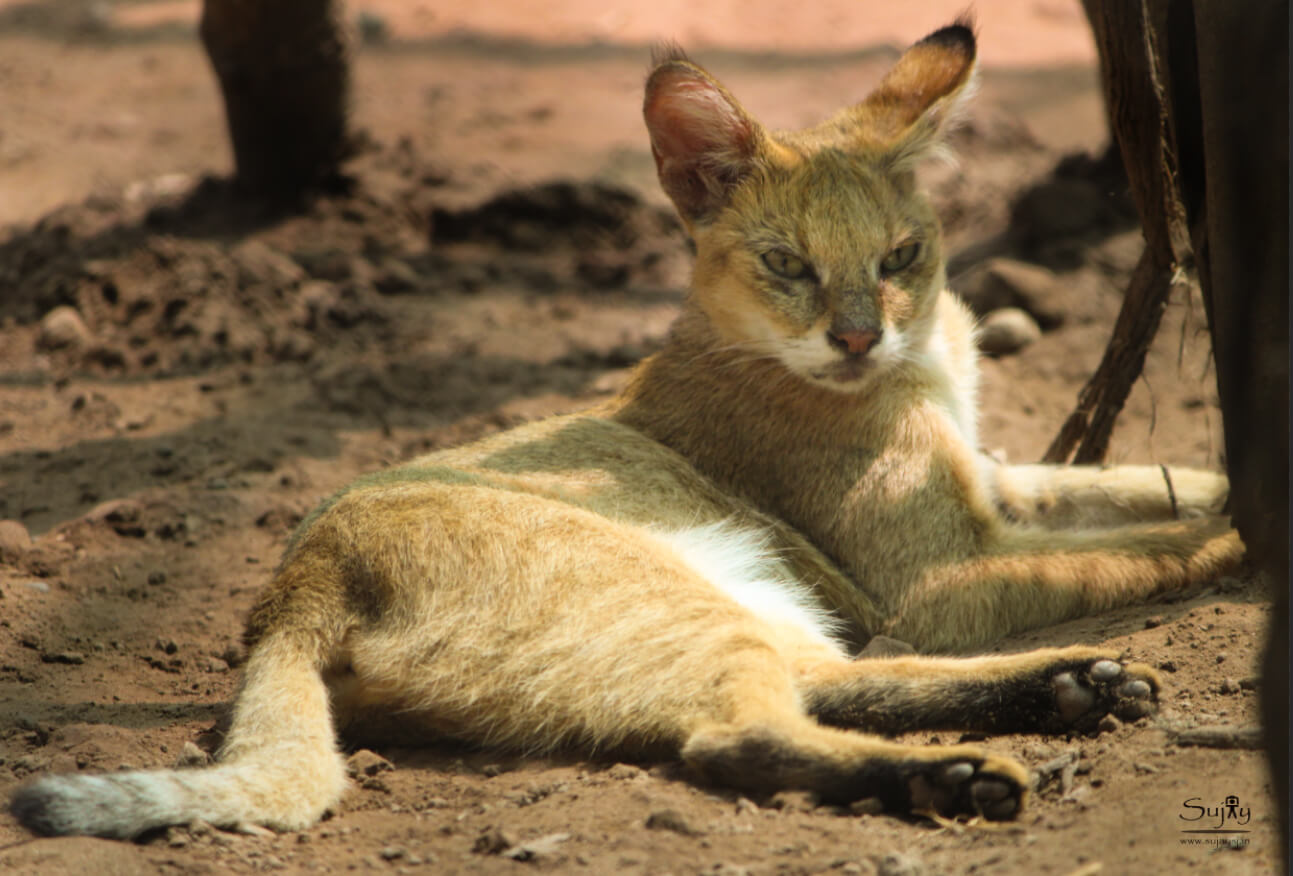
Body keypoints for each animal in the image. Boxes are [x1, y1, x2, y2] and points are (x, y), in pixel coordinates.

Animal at [10, 18, 1241, 838]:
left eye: (900, 255)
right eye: (787, 264)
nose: (856, 337)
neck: (927, 362)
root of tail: (292, 587)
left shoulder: (993, 489)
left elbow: (1135, 487)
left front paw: (1229, 483)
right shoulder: (938, 577)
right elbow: (1125, 549)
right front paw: (1242, 538)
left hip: (747, 603)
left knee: (820, 683)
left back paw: (1075, 689)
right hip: (674, 598)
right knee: (738, 736)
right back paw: (968, 772)